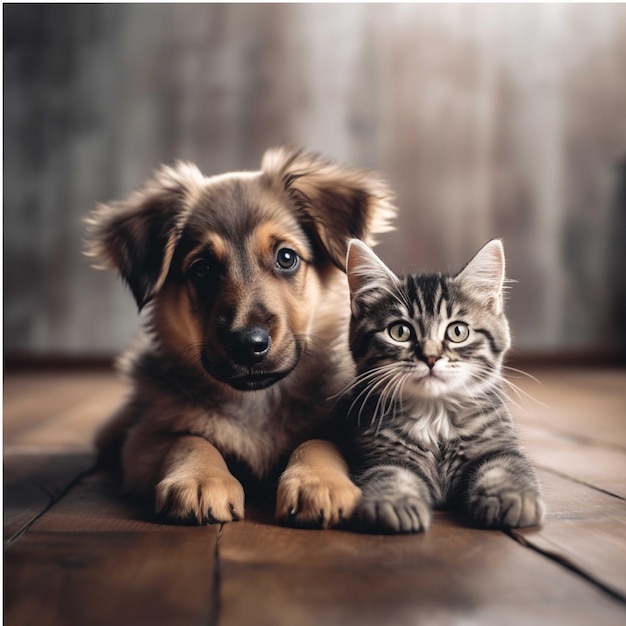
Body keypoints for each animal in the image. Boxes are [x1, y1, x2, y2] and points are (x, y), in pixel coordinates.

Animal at [85, 149, 394, 524]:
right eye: (202, 268)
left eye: (286, 257)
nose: (247, 345)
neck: (256, 402)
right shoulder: (145, 439)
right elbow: (189, 440)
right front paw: (201, 479)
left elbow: (319, 441)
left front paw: (317, 481)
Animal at [344, 239, 544, 532]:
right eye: (400, 332)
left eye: (458, 332)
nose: (431, 357)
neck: (435, 415)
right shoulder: (381, 453)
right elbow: (391, 474)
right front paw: (394, 503)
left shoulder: (497, 445)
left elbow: (507, 468)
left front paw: (511, 498)